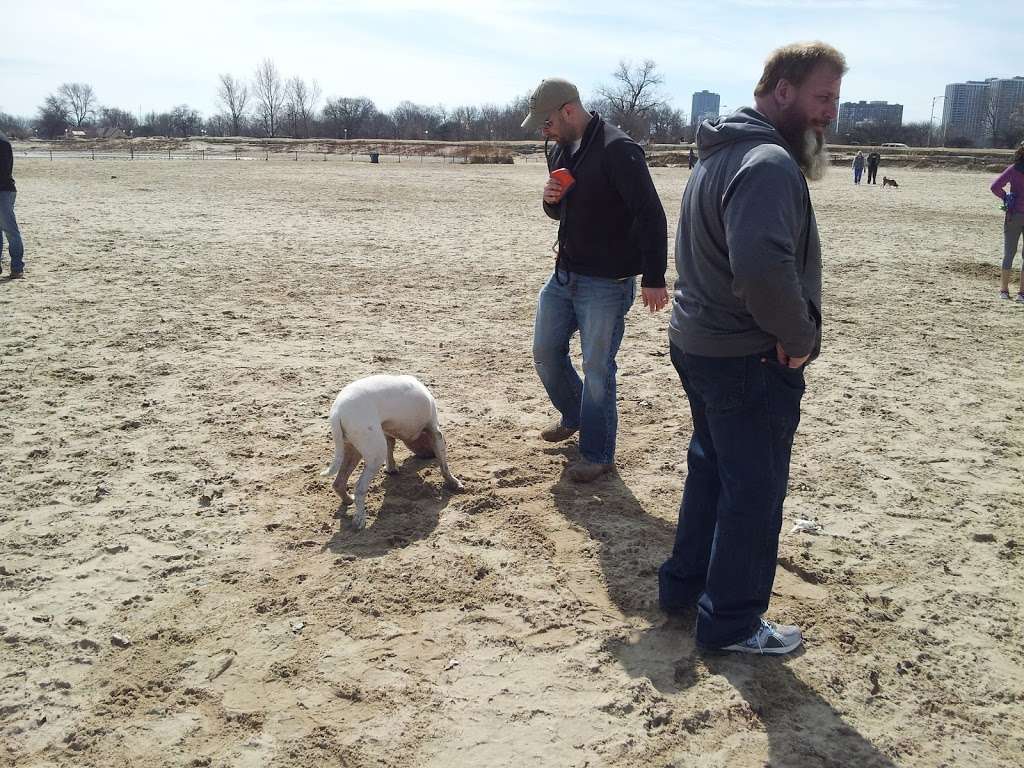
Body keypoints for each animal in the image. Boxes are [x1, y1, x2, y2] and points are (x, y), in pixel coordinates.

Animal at [321, 374, 462, 528]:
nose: (430, 456)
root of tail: (337, 412)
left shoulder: (387, 433)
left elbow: (390, 450)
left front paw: (391, 469)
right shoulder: (436, 432)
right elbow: (444, 466)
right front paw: (454, 483)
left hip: (352, 451)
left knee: (338, 483)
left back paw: (348, 500)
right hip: (374, 455)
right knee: (359, 489)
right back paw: (360, 519)